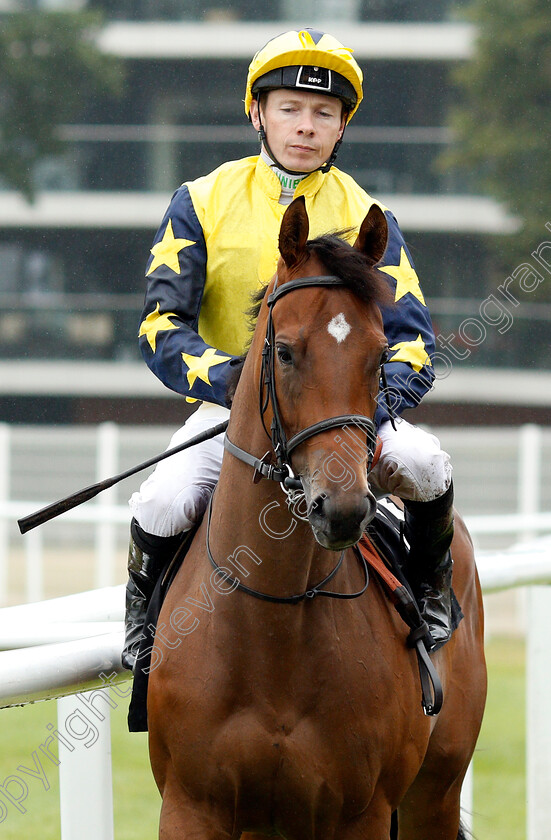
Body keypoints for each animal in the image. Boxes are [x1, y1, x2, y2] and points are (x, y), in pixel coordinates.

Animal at [147, 199, 488, 840]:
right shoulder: (193, 805)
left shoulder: (362, 813)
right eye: (284, 351)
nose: (344, 507)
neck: (272, 619)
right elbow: (163, 318)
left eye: (379, 354)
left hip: (436, 789)